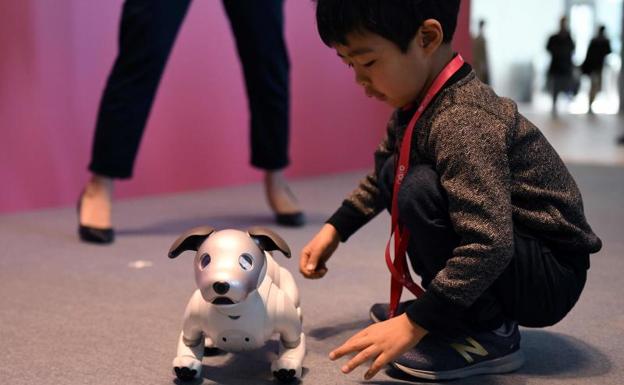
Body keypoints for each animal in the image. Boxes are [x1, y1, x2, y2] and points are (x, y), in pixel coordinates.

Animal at [168, 225, 304, 380]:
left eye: (246, 261)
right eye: (205, 260)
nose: (220, 285)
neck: (234, 312)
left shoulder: (280, 309)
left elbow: (292, 342)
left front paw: (286, 366)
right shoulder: (195, 311)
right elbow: (190, 340)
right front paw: (186, 366)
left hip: (288, 286)